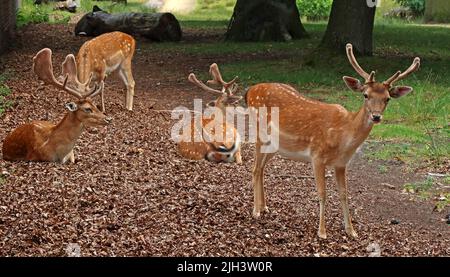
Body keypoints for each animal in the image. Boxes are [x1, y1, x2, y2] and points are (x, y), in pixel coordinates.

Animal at [244, 43, 420, 237]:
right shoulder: (317, 156)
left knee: (261, 168)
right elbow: (322, 193)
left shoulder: (342, 163)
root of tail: (250, 90)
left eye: (387, 98)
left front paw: (351, 230)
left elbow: (344, 194)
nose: (376, 116)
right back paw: (256, 211)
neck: (343, 138)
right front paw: (322, 232)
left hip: (276, 145)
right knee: (255, 168)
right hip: (259, 132)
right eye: (365, 95)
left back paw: (264, 207)